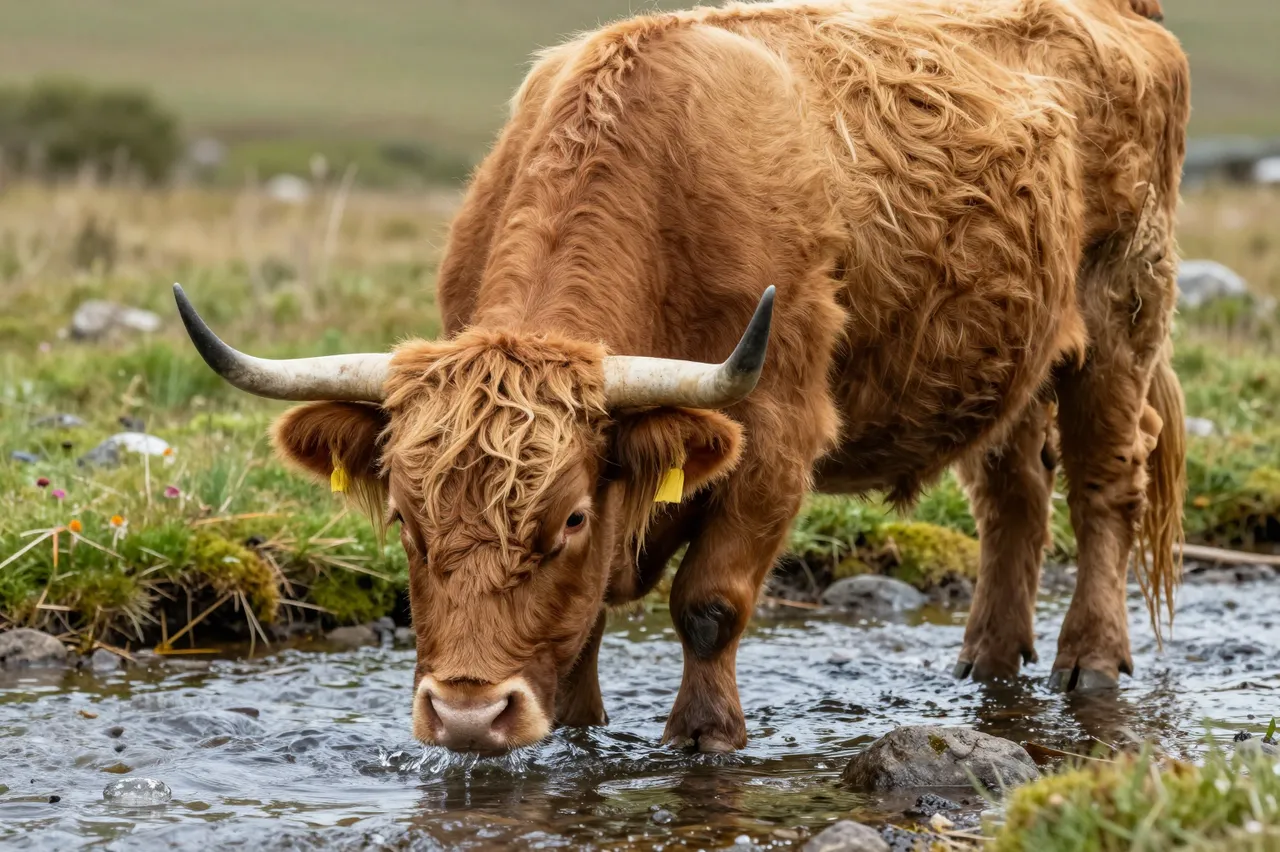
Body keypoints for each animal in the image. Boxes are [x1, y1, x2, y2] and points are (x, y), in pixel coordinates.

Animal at [174, 0, 1190, 754]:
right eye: (405, 520)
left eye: (569, 519)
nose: (466, 715)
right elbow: (583, 622)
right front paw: (575, 729)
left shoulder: (776, 436)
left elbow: (707, 604)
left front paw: (704, 736)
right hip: (1011, 358)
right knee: (1014, 494)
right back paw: (987, 659)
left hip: (1122, 317)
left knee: (1105, 485)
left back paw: (1090, 661)